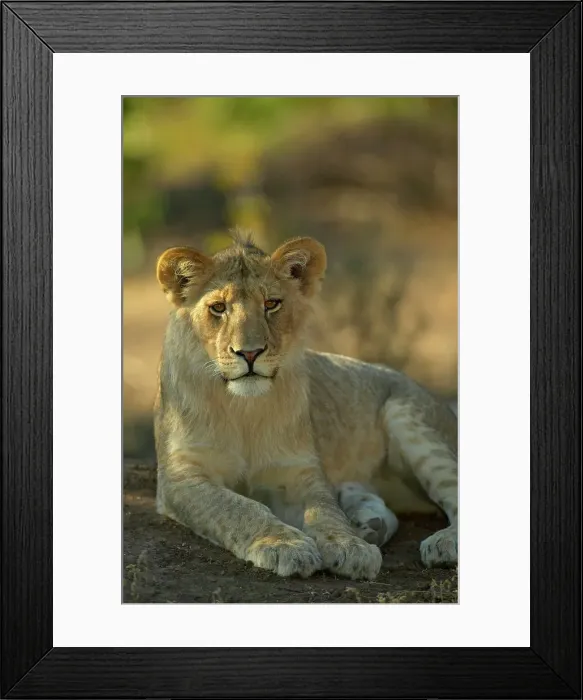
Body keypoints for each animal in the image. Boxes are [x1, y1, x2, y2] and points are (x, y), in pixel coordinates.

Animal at [153, 232, 458, 581]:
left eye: (271, 304)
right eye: (218, 308)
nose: (250, 353)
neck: (244, 409)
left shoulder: (298, 469)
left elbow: (323, 509)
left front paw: (348, 545)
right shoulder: (181, 476)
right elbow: (238, 508)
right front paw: (284, 544)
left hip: (407, 416)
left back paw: (440, 543)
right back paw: (370, 524)